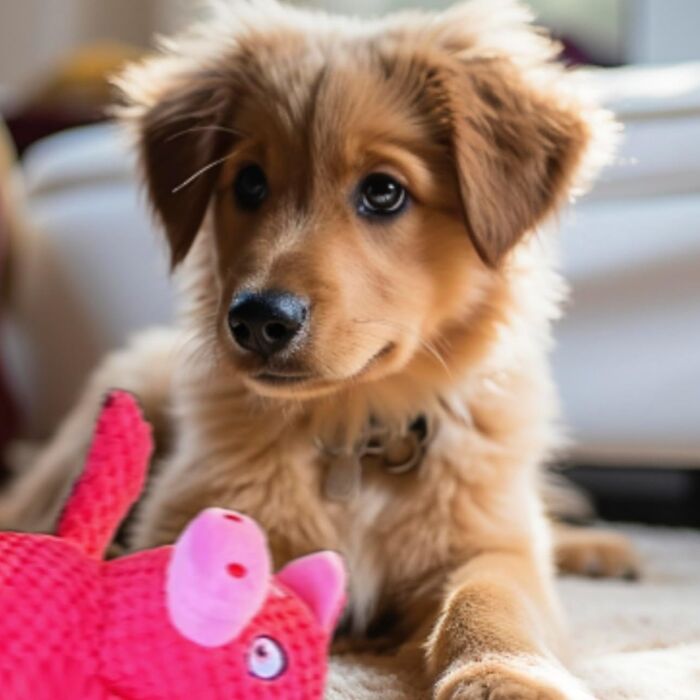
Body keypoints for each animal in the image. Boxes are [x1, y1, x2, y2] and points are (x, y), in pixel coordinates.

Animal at [0, 0, 636, 696]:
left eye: (384, 191)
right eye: (249, 183)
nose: (257, 320)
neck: (356, 437)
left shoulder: (488, 542)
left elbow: (492, 594)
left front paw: (504, 673)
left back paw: (596, 546)